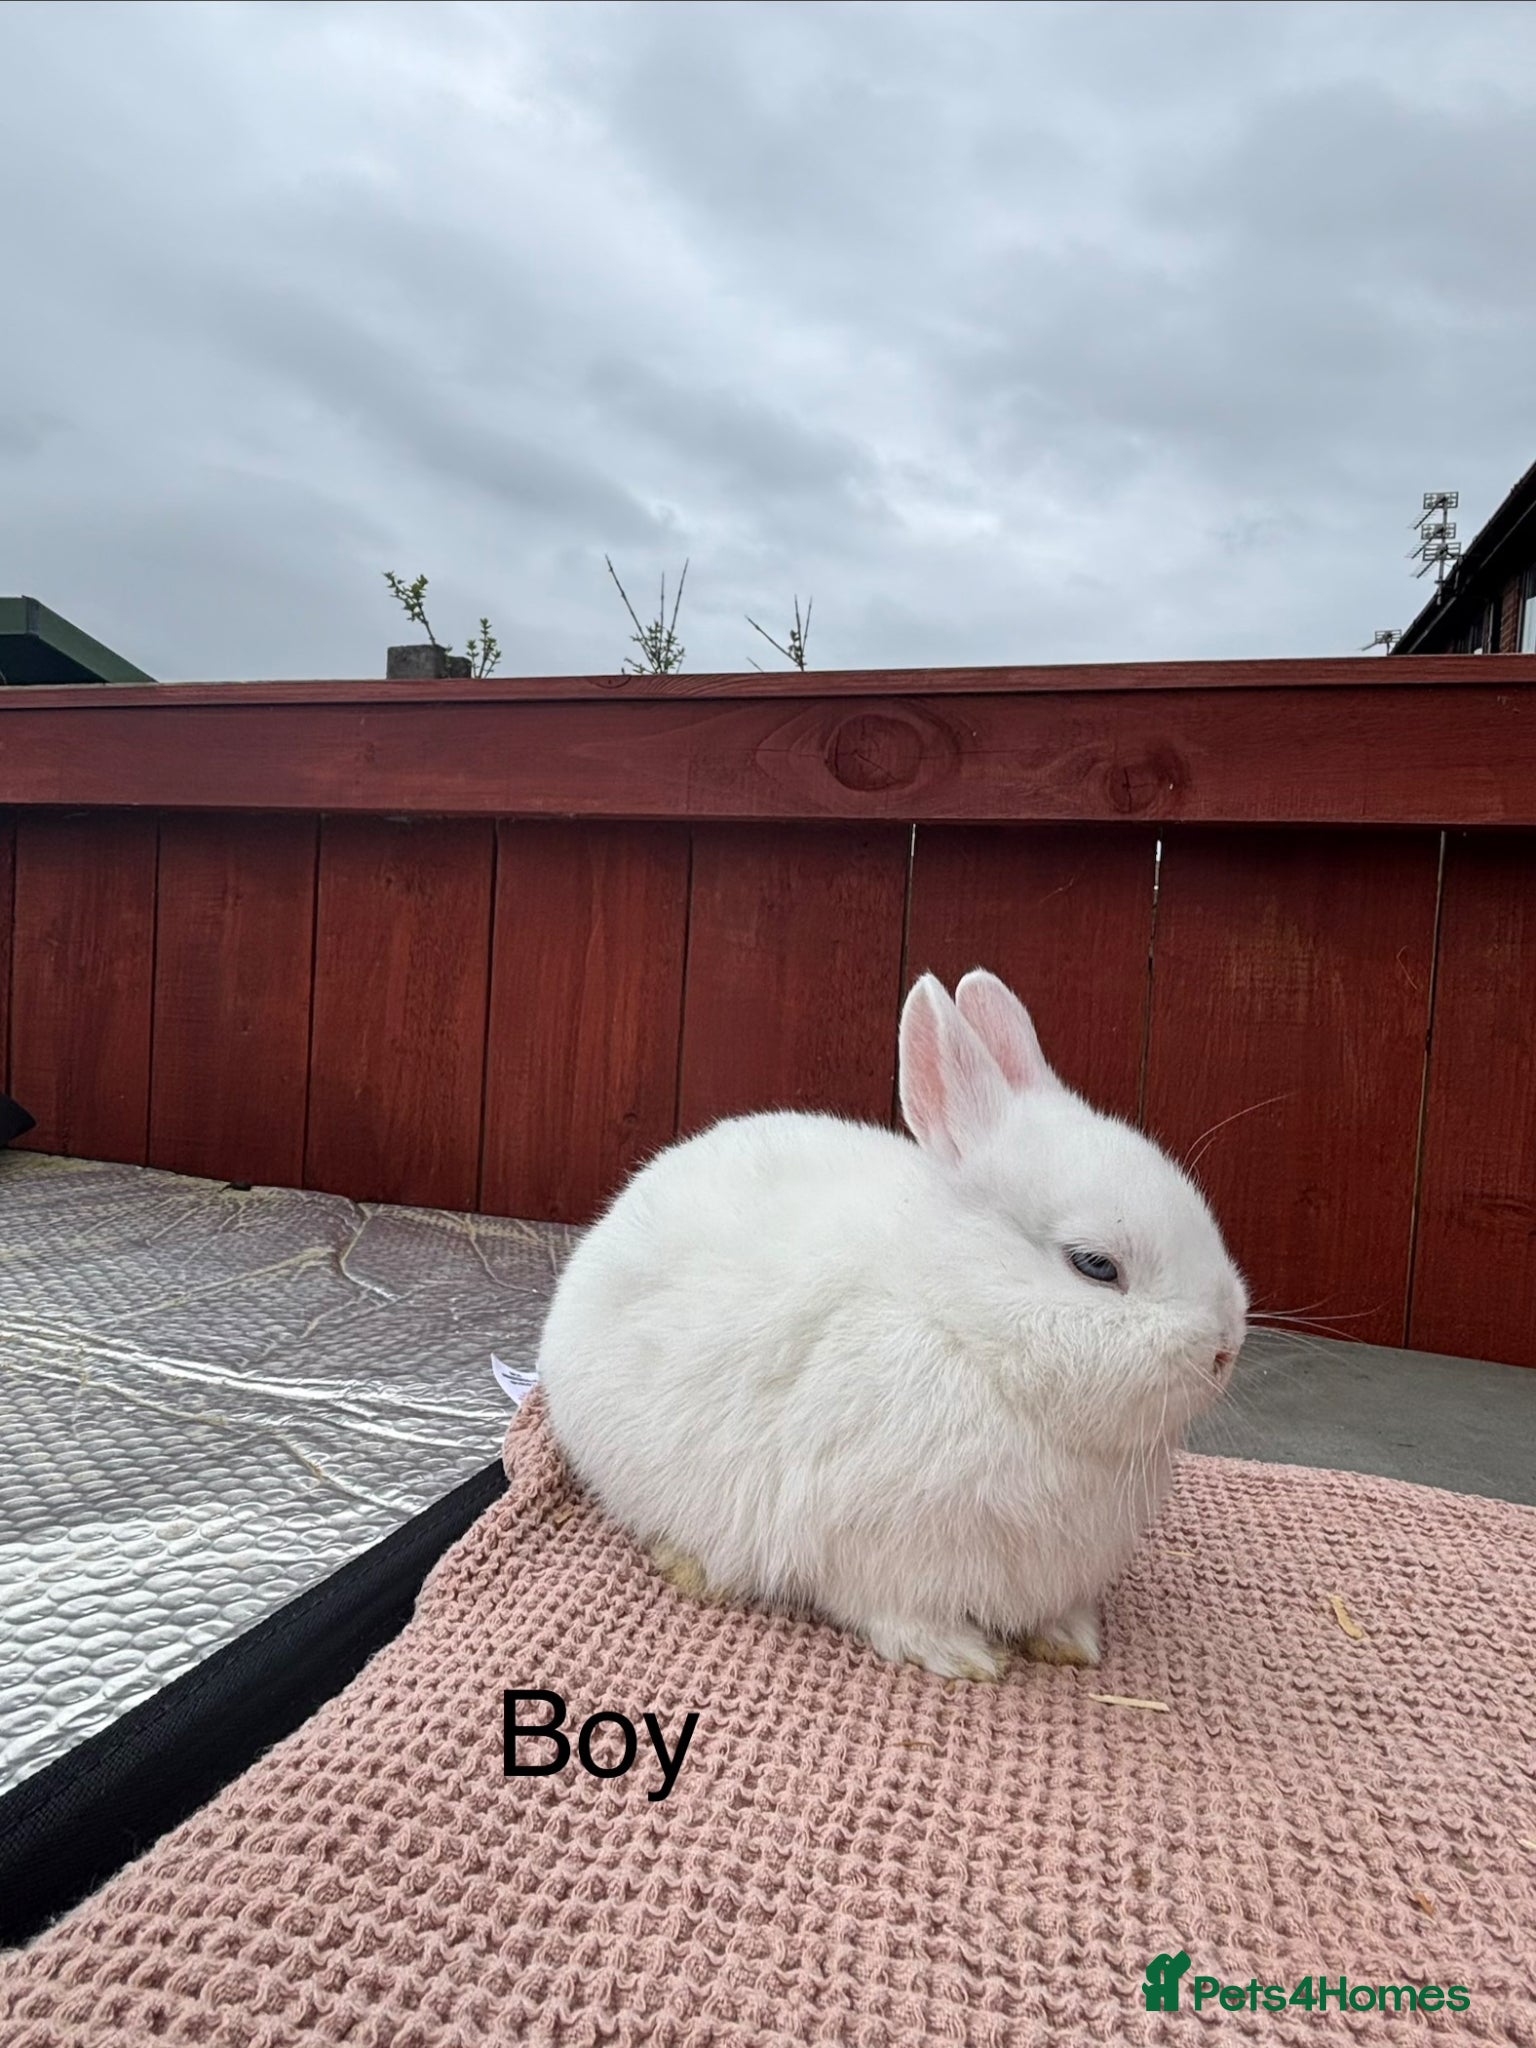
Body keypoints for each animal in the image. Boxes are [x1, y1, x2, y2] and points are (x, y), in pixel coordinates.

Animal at [535, 968, 1248, 1681]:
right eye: (1095, 1265)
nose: (1226, 1347)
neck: (965, 1328)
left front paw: (1070, 1640)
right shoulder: (872, 1554)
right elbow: (898, 1614)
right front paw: (962, 1657)